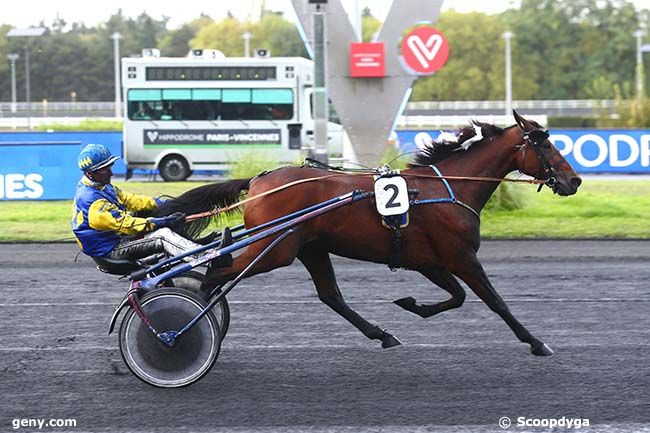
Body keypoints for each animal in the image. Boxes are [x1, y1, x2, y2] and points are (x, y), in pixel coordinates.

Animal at [154, 110, 580, 354]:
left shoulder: (428, 260)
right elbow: (495, 301)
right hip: (276, 250)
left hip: (310, 247)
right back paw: (185, 327)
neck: (448, 188)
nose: (573, 180)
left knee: (330, 296)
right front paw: (536, 342)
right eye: (544, 145)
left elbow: (457, 297)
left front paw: (411, 304)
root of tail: (260, 180)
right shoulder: (461, 256)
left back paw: (381, 334)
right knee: (217, 273)